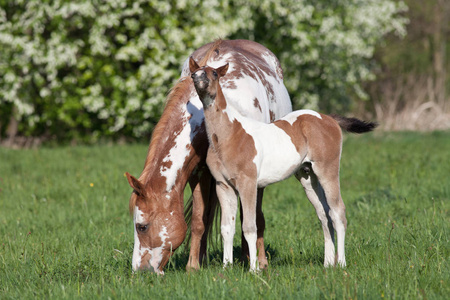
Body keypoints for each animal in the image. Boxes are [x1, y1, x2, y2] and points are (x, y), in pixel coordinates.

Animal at [125, 39, 292, 274]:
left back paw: (252, 258)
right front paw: (194, 266)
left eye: (142, 226)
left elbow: (251, 218)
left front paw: (257, 262)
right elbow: (198, 220)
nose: (140, 270)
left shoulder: (250, 176)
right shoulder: (199, 173)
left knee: (251, 216)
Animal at [188, 58, 378, 272]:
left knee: (338, 213)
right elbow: (227, 228)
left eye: (214, 74)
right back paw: (328, 263)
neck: (228, 135)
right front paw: (226, 268)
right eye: (194, 74)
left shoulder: (248, 184)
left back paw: (342, 263)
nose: (199, 81)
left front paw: (254, 269)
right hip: (308, 177)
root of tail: (328, 118)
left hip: (327, 172)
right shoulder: (224, 186)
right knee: (324, 215)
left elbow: (249, 227)